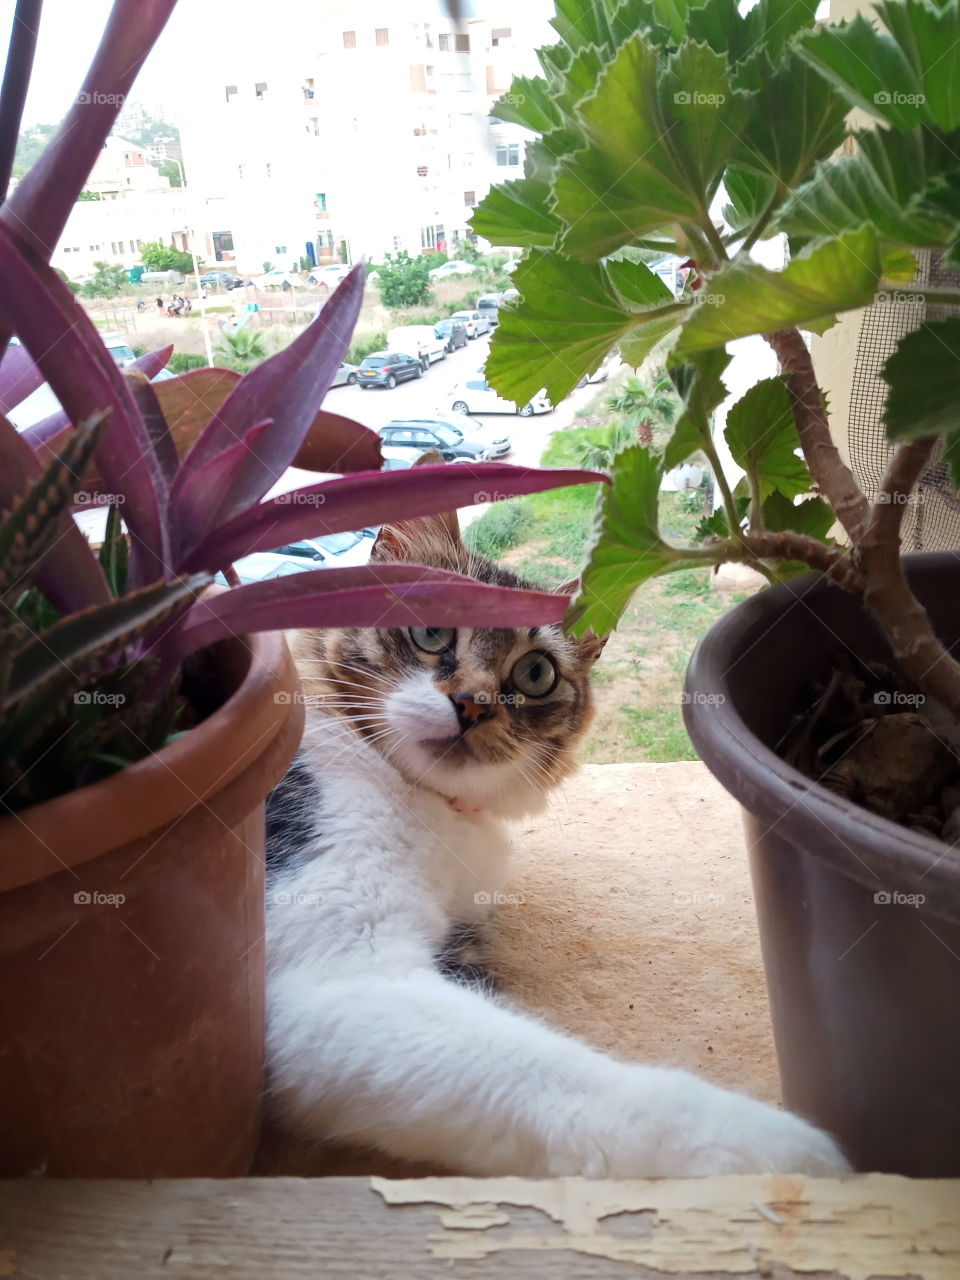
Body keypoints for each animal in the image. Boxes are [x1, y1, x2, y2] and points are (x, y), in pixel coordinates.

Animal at [264, 463, 849, 1177]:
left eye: (535, 673)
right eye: (432, 632)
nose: (473, 705)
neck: (431, 804)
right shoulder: (343, 970)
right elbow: (539, 1070)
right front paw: (777, 1151)